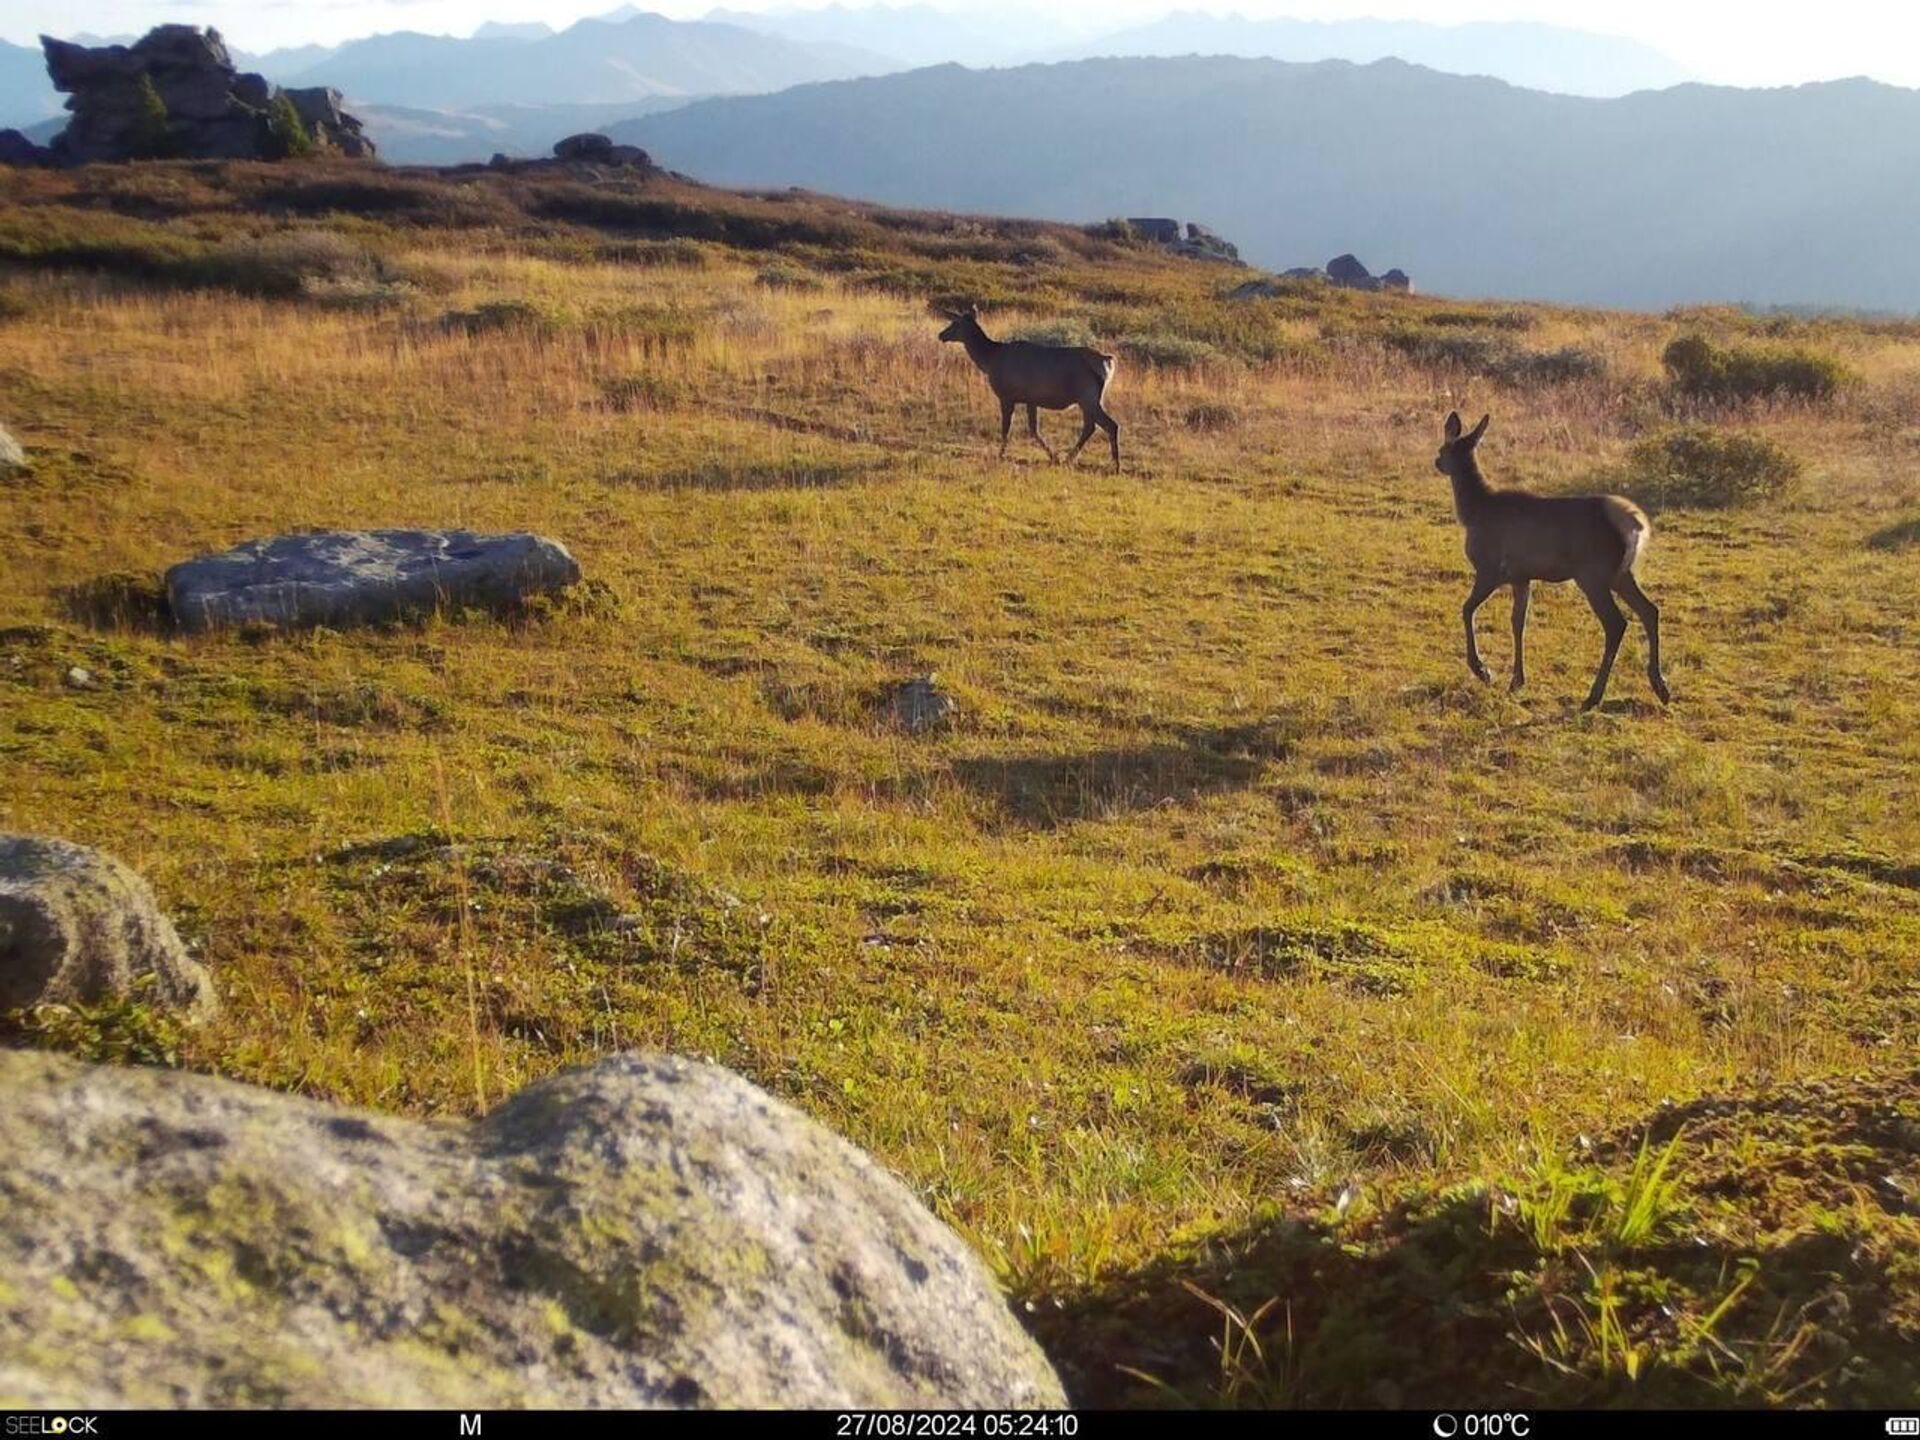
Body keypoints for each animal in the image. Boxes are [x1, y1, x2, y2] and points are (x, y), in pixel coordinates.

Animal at [936, 307, 1121, 470]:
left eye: (955, 323)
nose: (941, 335)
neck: (989, 361)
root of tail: (1107, 360)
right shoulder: (1031, 399)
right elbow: (1033, 430)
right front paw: (1053, 456)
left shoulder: (1006, 395)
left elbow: (1006, 428)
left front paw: (1000, 455)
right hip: (1090, 398)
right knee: (1091, 426)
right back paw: (1071, 458)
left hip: (1087, 396)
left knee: (1109, 425)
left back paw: (1115, 465)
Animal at [1436, 410, 1674, 710]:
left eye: (1443, 449)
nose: (1437, 462)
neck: (1474, 512)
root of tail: (1635, 524)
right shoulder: (1521, 577)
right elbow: (1518, 623)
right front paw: (1517, 681)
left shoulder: (1490, 569)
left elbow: (1467, 609)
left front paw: (1483, 670)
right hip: (1621, 573)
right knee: (1649, 610)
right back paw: (1661, 687)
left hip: (1593, 574)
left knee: (1616, 623)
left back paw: (1593, 697)